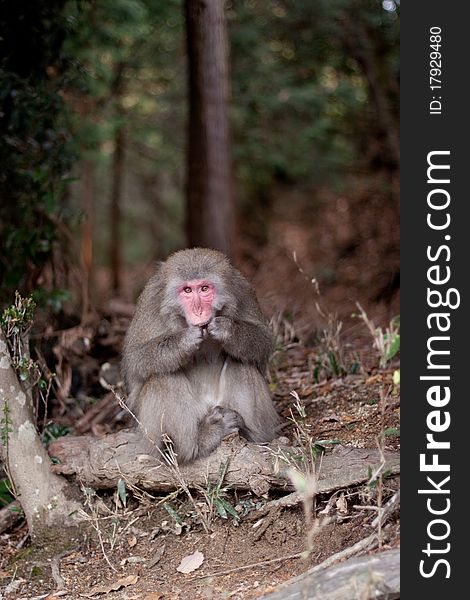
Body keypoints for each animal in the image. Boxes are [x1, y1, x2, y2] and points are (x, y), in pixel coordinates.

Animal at [123, 248, 280, 464]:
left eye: (204, 288)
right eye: (187, 291)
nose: (198, 311)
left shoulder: (242, 289)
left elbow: (262, 341)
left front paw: (227, 330)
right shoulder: (150, 300)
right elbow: (135, 358)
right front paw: (183, 341)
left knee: (242, 363)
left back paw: (250, 434)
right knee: (163, 377)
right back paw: (198, 443)